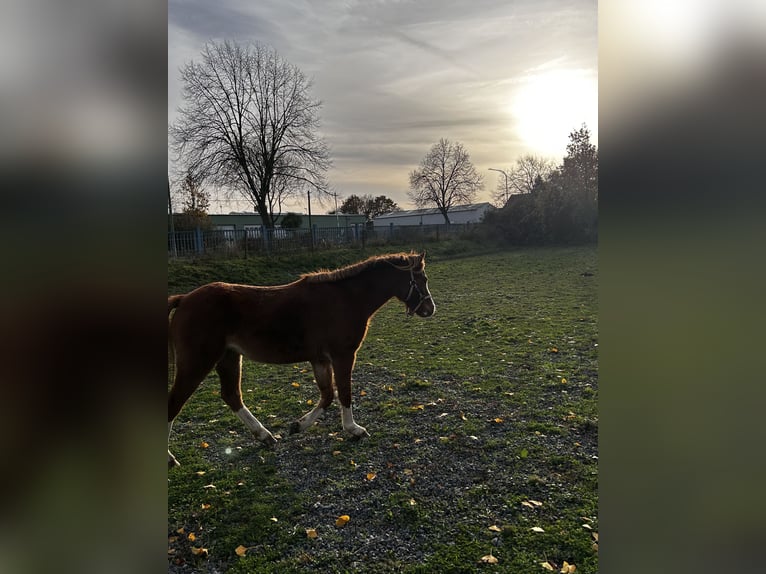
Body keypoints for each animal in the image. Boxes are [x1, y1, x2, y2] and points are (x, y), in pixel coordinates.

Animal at [167, 252, 436, 468]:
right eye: (422, 279)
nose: (430, 309)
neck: (346, 298)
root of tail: (183, 299)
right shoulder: (343, 356)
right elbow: (344, 392)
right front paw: (354, 429)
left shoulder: (320, 360)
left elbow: (327, 396)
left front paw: (298, 425)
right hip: (197, 363)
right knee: (174, 403)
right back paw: (170, 458)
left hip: (229, 358)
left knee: (231, 395)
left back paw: (264, 435)